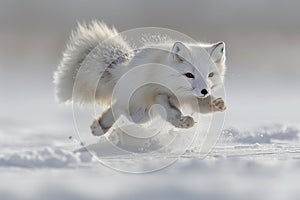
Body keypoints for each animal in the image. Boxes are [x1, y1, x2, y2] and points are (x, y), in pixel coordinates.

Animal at [54, 21, 227, 137]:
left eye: (210, 75)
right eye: (189, 75)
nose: (204, 90)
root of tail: (123, 68)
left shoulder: (192, 97)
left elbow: (202, 107)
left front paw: (216, 104)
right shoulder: (160, 93)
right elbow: (169, 110)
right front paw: (183, 121)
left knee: (116, 107)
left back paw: (99, 126)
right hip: (139, 113)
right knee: (120, 108)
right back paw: (101, 126)